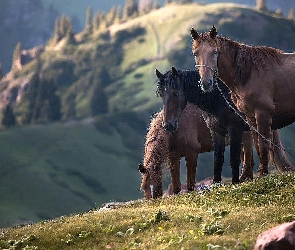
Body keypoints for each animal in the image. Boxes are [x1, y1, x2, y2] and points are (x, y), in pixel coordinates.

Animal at [190, 25, 295, 176]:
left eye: (215, 52)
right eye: (195, 53)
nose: (206, 83)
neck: (249, 74)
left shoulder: (262, 114)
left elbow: (263, 144)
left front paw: (262, 174)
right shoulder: (250, 117)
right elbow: (257, 145)